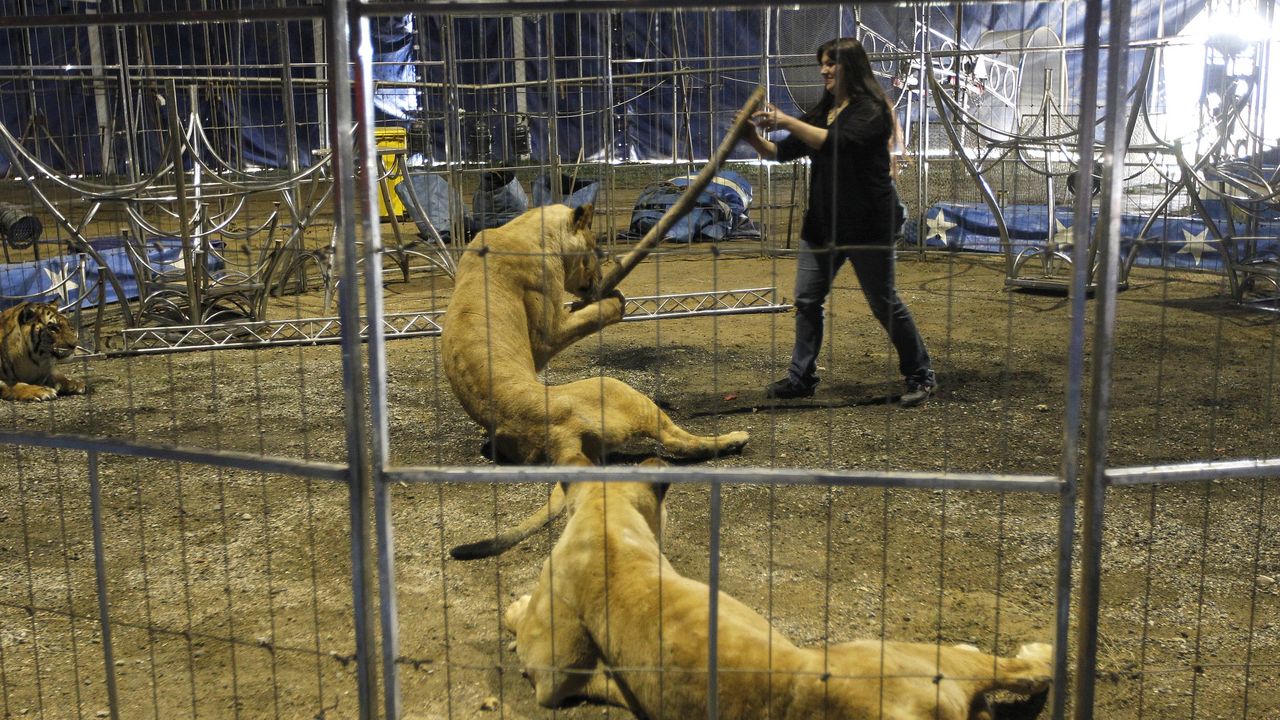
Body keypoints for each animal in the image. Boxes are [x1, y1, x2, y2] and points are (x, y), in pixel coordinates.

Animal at [442, 199, 747, 556]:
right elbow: (599, 312)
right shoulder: (547, 334)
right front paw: (615, 298)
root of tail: (557, 439)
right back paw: (734, 439)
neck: (526, 230)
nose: (601, 278)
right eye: (594, 250)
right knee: (677, 441)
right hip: (616, 388)